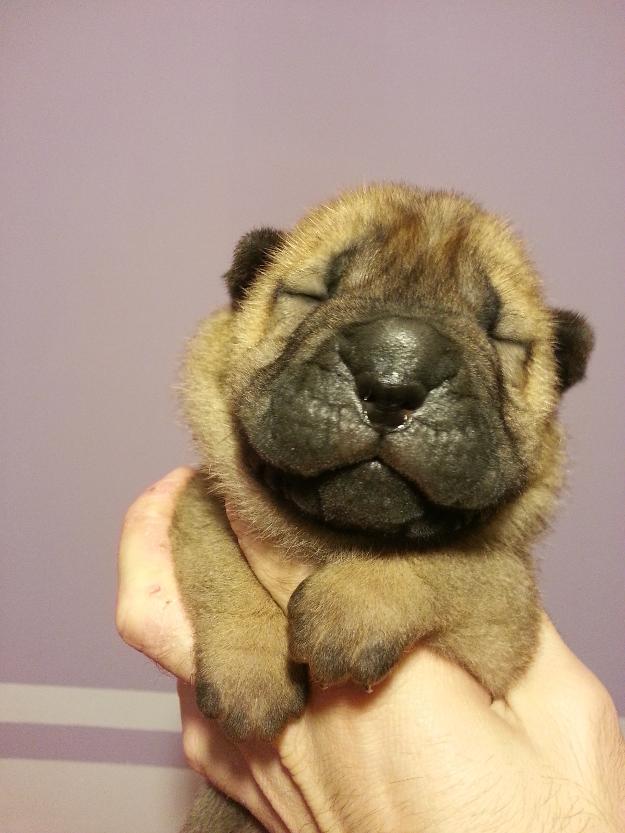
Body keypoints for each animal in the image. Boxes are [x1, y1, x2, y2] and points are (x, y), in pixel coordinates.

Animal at [168, 184, 592, 832]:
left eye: (500, 335)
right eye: (314, 294)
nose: (394, 380)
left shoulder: (503, 625)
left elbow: (469, 564)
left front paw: (348, 607)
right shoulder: (202, 494)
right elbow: (212, 539)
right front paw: (252, 672)